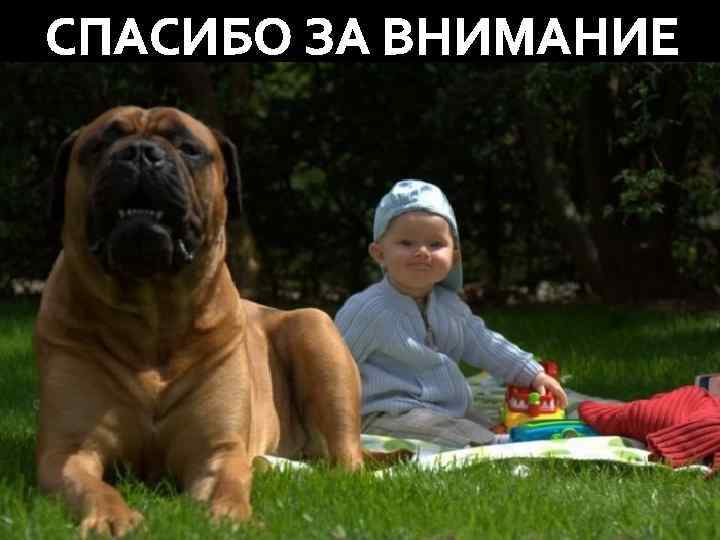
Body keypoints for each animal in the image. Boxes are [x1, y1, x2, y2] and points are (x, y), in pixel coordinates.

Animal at [34, 106, 367, 537]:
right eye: (102, 142)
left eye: (188, 147)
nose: (139, 152)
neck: (151, 315)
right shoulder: (69, 449)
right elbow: (93, 486)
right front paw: (112, 516)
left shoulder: (217, 450)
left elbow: (228, 483)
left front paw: (232, 517)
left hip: (316, 329)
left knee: (347, 458)